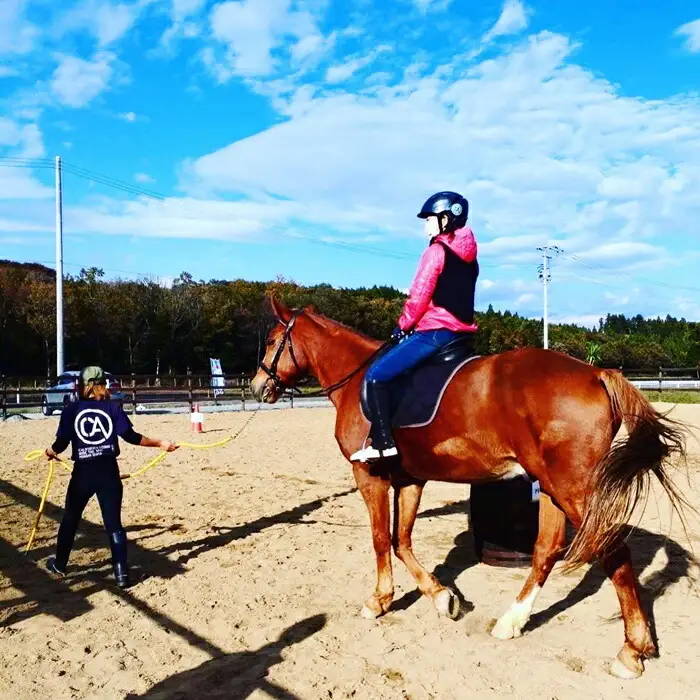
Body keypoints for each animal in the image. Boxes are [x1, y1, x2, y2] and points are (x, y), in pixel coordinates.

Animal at [250, 295, 690, 680]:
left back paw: (631, 651)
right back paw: (512, 621)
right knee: (546, 550)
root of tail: (597, 373)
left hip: (574, 491)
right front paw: (441, 596)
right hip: (552, 488)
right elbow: (401, 540)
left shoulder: (369, 476)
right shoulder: (410, 479)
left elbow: (379, 538)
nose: (257, 386)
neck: (358, 379)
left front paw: (379, 601)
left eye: (271, 341)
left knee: (614, 552)